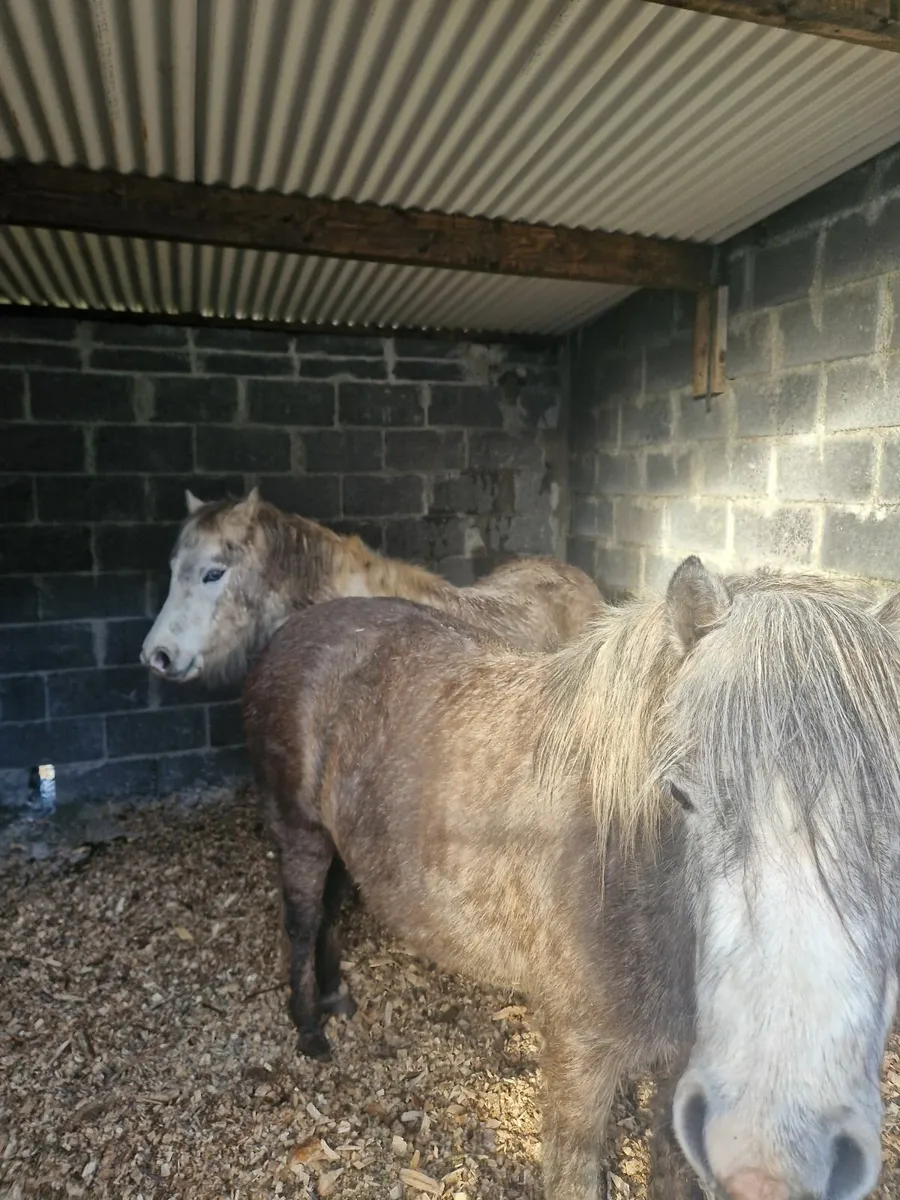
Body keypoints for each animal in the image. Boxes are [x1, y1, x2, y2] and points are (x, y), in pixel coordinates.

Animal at [242, 558, 900, 1200]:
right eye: (680, 793)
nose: (778, 1146)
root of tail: (296, 629)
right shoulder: (578, 1054)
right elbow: (573, 1173)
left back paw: (337, 998)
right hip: (300, 834)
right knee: (303, 922)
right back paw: (311, 1030)